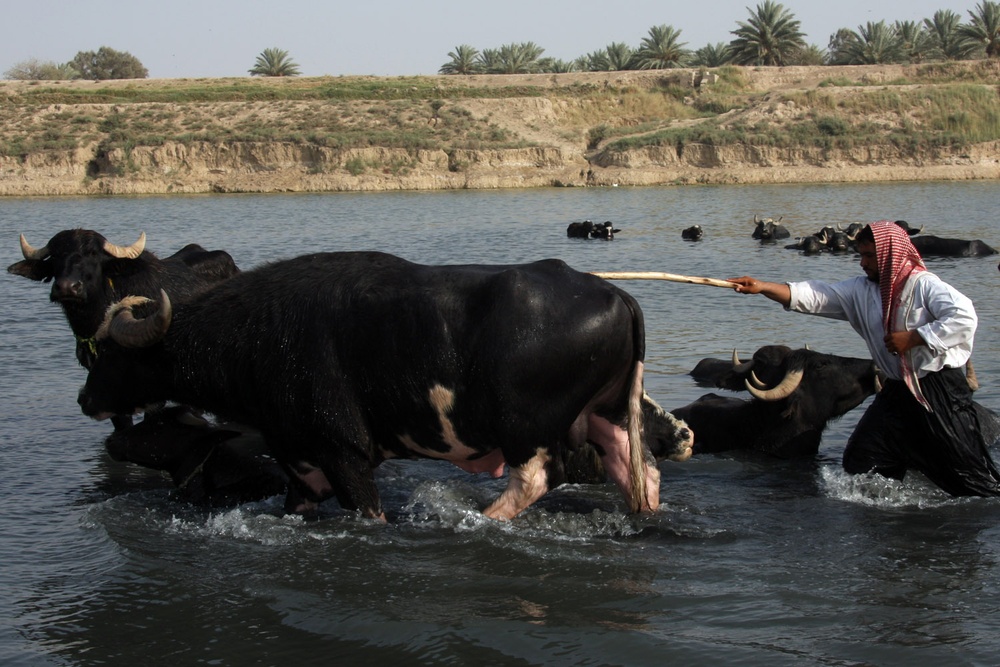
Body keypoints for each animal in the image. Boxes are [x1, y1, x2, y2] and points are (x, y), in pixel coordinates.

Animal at [80, 252, 664, 520]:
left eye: (109, 354)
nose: (85, 399)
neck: (258, 338)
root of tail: (615, 295)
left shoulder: (346, 454)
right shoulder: (300, 463)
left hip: (526, 430)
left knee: (536, 479)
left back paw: (481, 519)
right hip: (607, 415)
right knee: (639, 472)